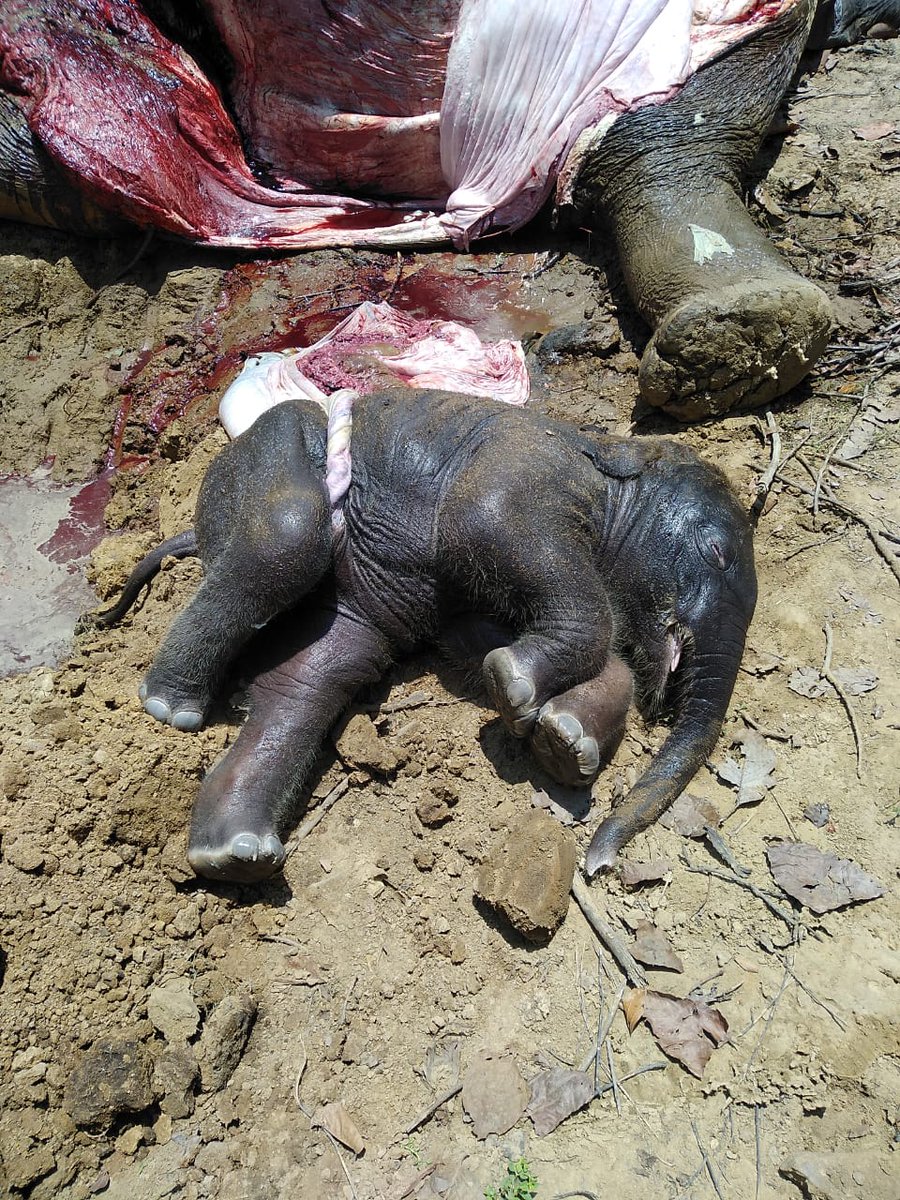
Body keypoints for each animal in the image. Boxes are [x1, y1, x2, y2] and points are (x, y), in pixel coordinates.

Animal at [92, 388, 757, 884]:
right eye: (718, 553)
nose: (599, 865)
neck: (616, 458)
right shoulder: (524, 479)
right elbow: (483, 524)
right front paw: (513, 689)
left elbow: (473, 637)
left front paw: (563, 740)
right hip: (272, 452)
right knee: (287, 535)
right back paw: (171, 708)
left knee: (318, 671)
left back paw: (234, 855)